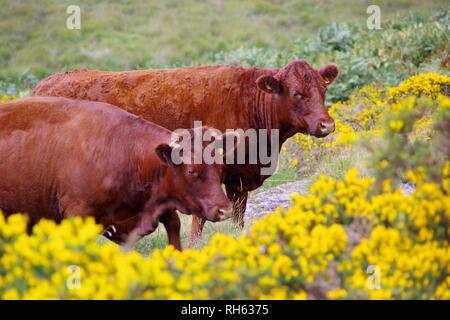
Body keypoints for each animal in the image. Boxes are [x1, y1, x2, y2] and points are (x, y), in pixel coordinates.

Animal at [32, 60, 338, 245]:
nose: (327, 124)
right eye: (296, 93)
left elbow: (238, 216)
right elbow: (200, 219)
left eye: (323, 89)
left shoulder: (238, 180)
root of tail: (43, 85)